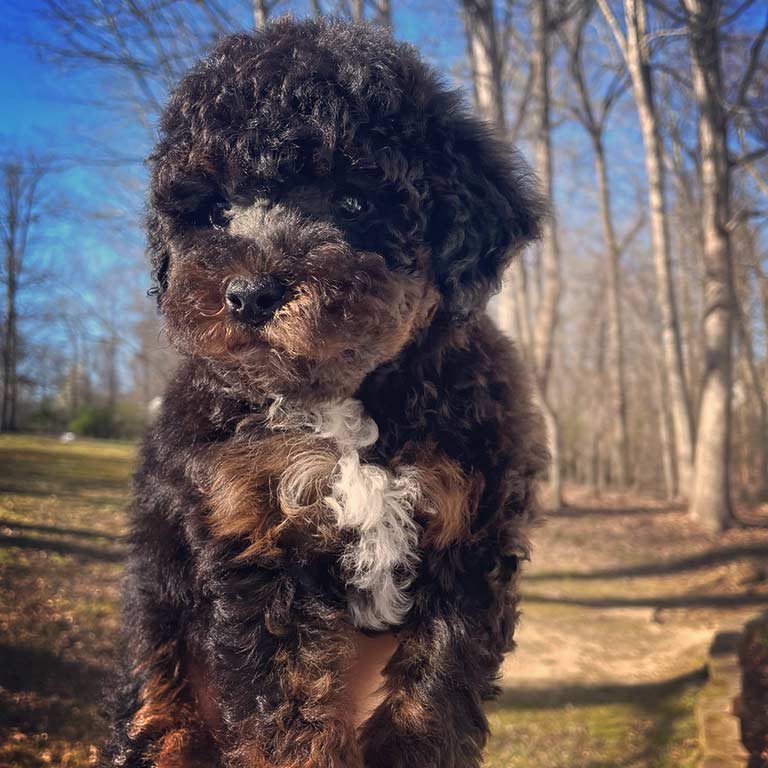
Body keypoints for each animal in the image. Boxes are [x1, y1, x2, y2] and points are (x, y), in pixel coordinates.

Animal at [108, 16, 548, 768]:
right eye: (216, 211)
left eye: (354, 199)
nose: (249, 294)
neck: (342, 408)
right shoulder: (252, 531)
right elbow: (281, 709)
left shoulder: (473, 530)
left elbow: (435, 686)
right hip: (154, 579)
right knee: (153, 669)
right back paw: (167, 736)